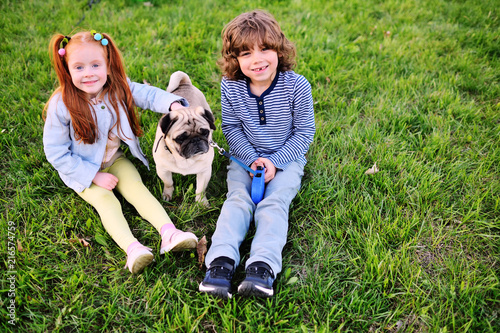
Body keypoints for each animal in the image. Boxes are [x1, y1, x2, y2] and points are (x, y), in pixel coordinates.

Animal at [152, 70, 215, 205]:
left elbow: (200, 189)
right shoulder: (162, 170)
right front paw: (167, 194)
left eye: (205, 133)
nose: (195, 140)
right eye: (180, 138)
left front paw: (201, 203)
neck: (185, 160)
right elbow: (168, 183)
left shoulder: (205, 171)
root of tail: (185, 84)